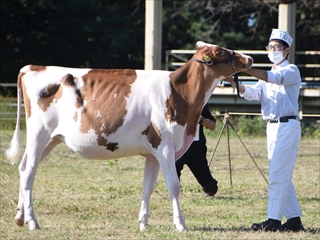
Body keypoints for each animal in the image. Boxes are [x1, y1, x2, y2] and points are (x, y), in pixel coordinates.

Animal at [5, 41, 252, 231]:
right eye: (221, 51)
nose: (249, 58)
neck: (180, 94)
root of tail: (33, 67)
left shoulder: (153, 153)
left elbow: (148, 187)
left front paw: (143, 223)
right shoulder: (165, 147)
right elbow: (173, 186)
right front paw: (181, 224)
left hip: (50, 139)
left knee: (23, 167)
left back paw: (19, 216)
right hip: (39, 133)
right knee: (29, 172)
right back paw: (33, 222)